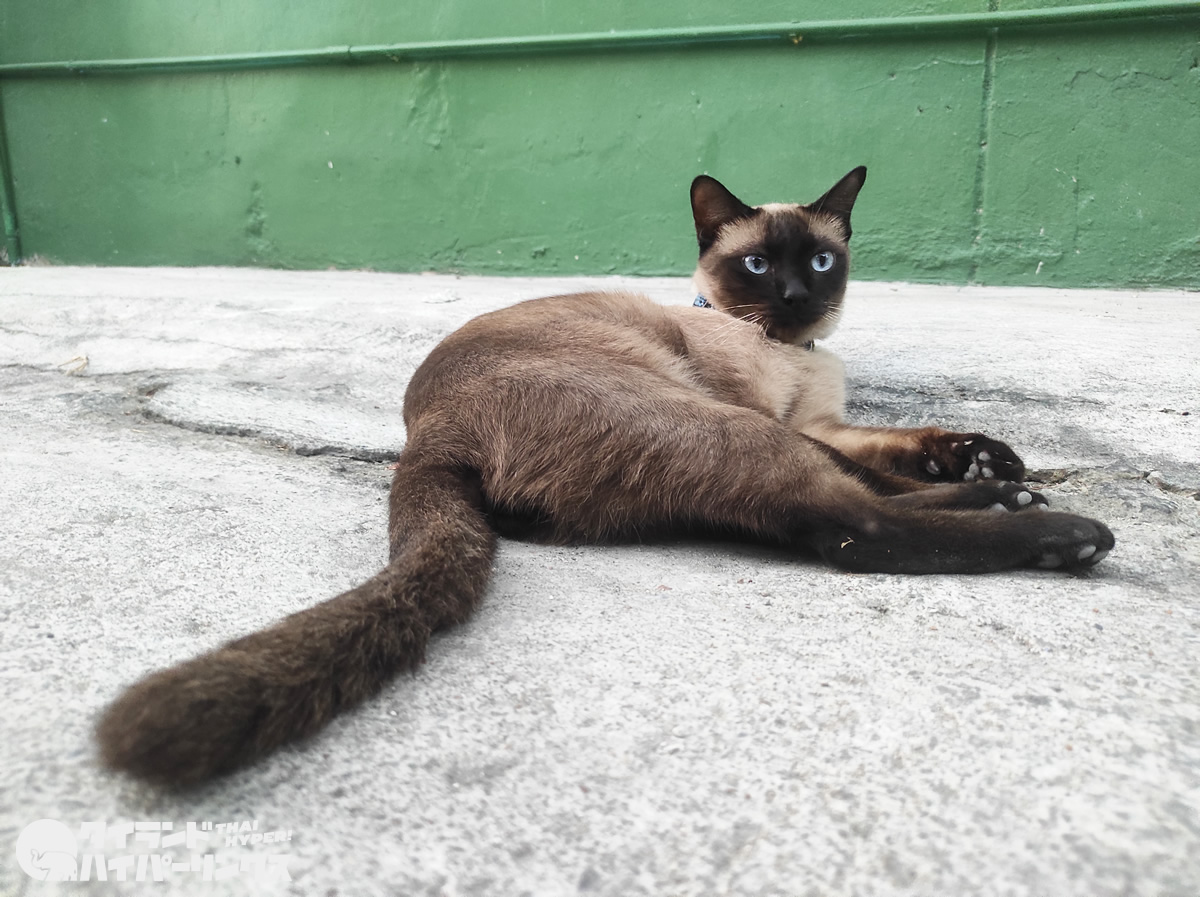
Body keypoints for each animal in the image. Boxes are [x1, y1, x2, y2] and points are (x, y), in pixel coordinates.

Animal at [96, 167, 1114, 785]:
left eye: (822, 260)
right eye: (758, 263)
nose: (796, 298)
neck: (790, 357)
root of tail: (426, 431)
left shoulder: (819, 420)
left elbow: (899, 445)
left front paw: (988, 455)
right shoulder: (773, 414)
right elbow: (871, 480)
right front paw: (1004, 482)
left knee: (820, 511)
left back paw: (1009, 489)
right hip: (711, 419)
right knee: (851, 529)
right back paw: (1059, 531)